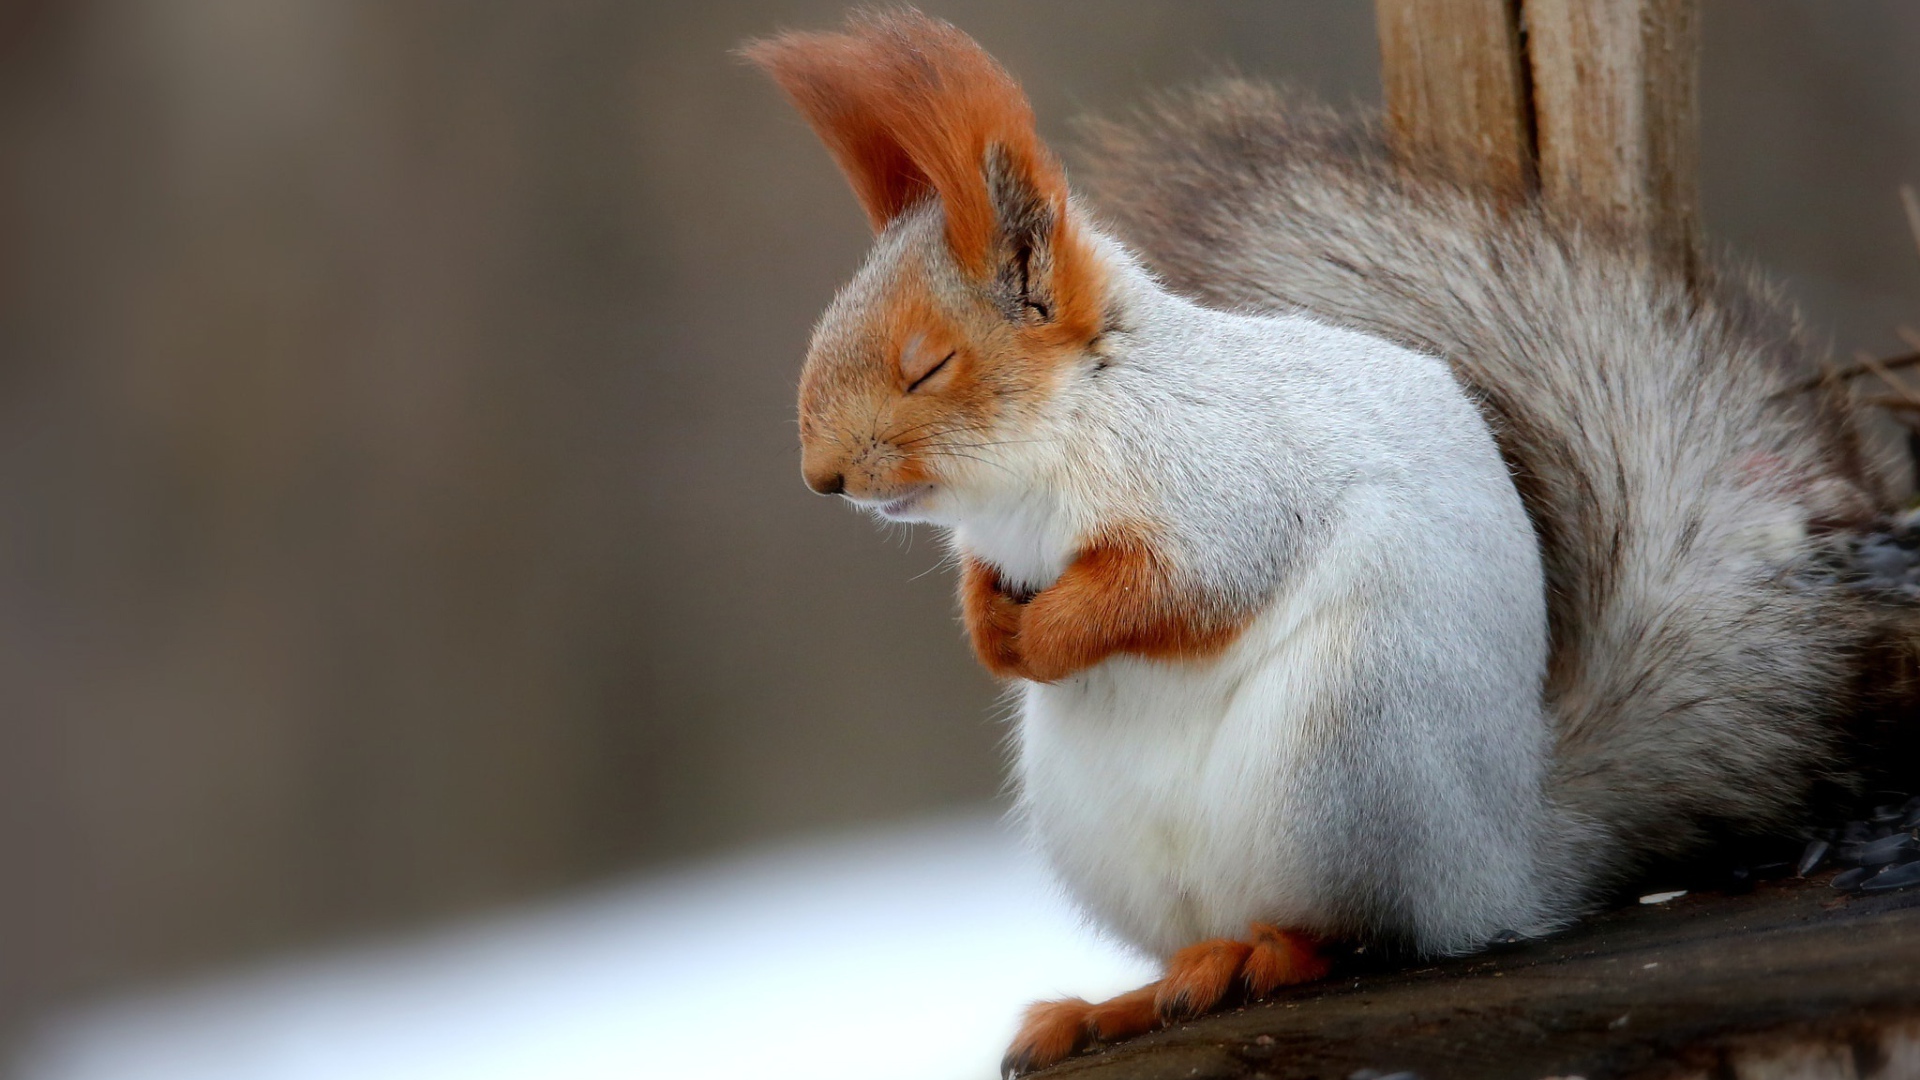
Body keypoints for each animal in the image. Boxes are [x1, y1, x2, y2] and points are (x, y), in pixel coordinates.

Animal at [741, 6, 1920, 1068]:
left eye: (929, 366)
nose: (822, 477)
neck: (1043, 461)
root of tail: (1506, 860)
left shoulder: (1231, 492)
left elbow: (1173, 592)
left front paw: (1053, 633)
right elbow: (992, 588)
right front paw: (993, 632)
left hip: (1349, 748)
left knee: (1366, 933)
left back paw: (1263, 958)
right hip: (1112, 830)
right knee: (1210, 937)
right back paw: (1121, 1002)